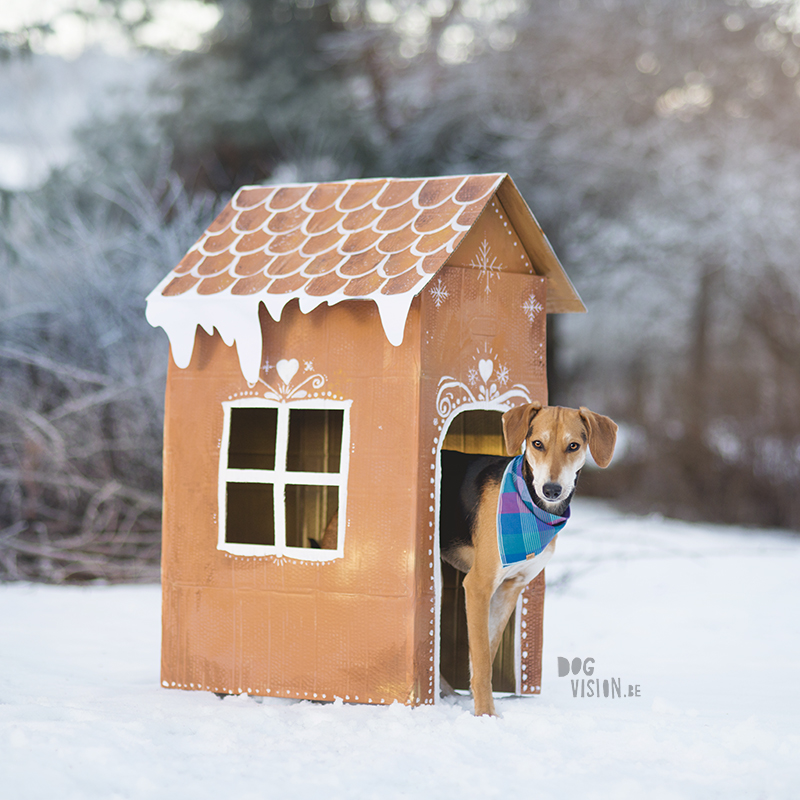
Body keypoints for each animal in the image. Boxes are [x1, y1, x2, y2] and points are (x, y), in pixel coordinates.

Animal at [440, 404, 616, 716]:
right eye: (537, 444)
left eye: (573, 446)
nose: (551, 490)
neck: (534, 511)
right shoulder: (478, 586)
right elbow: (482, 659)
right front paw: (485, 714)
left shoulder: (510, 588)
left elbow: (487, 650)